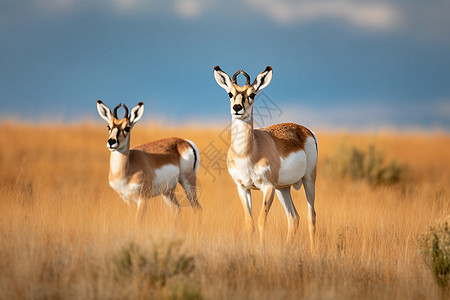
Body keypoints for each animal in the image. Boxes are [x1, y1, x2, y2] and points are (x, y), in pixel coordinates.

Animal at [214, 66, 316, 246]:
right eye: (230, 94)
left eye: (252, 94)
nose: (237, 108)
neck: (248, 154)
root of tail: (305, 130)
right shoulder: (242, 188)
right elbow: (250, 223)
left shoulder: (268, 187)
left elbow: (262, 220)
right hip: (283, 188)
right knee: (294, 217)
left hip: (308, 180)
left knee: (311, 217)